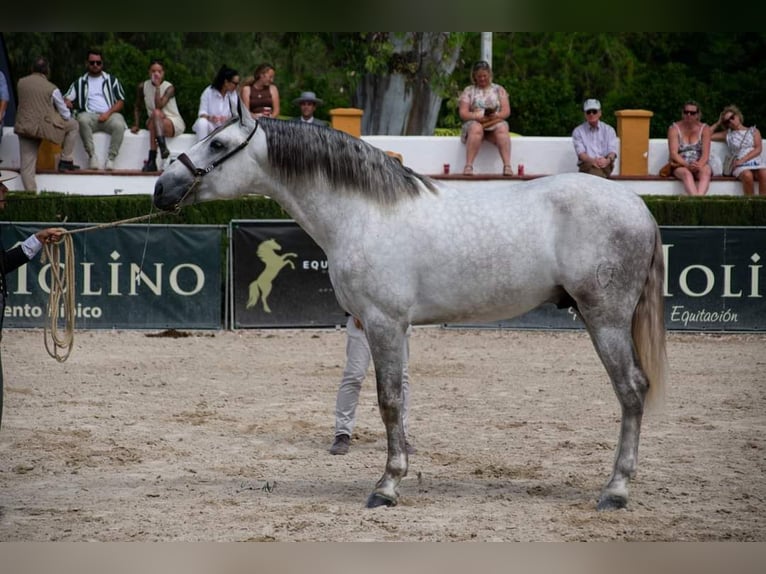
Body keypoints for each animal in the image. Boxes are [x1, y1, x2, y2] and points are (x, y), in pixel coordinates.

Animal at [154, 112, 664, 512]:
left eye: (218, 144)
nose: (161, 187)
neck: (365, 213)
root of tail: (637, 205)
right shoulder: (391, 328)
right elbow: (398, 397)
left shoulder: (384, 322)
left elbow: (388, 401)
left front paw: (387, 486)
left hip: (605, 319)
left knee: (631, 390)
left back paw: (616, 491)